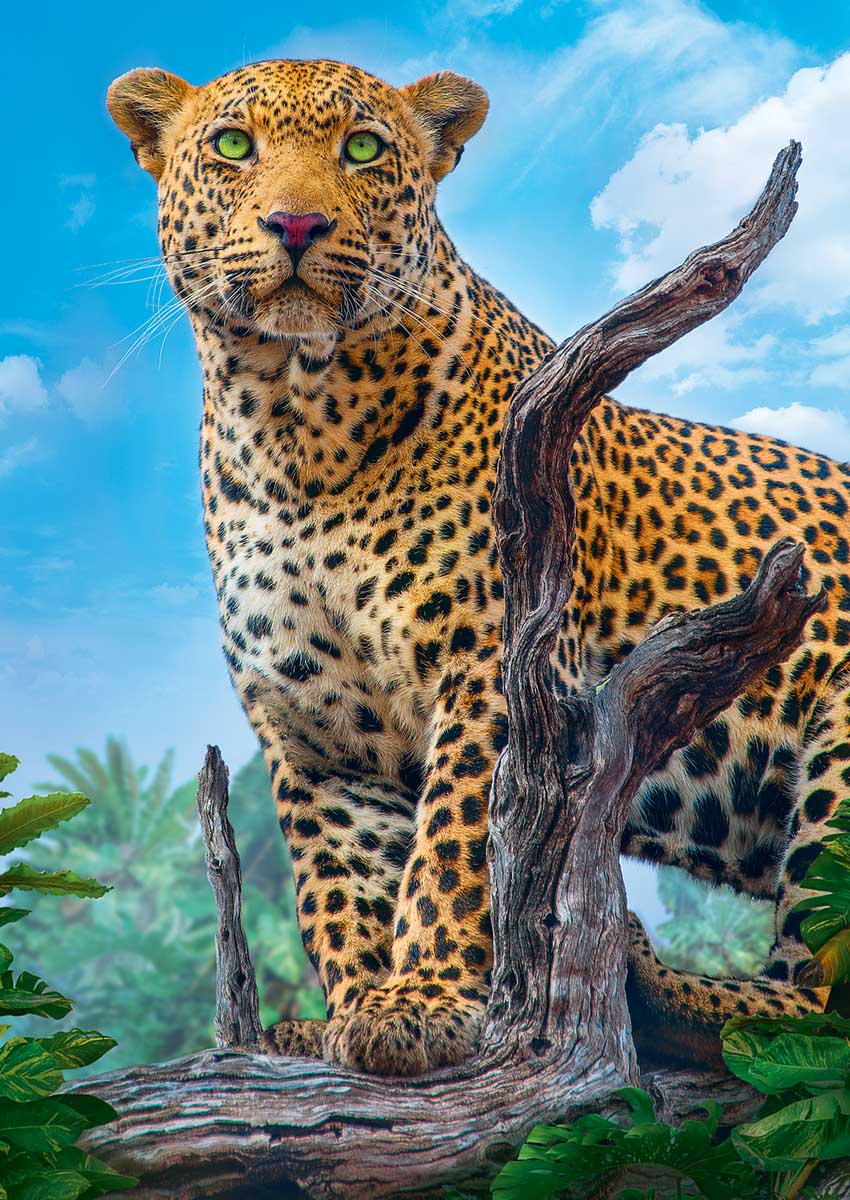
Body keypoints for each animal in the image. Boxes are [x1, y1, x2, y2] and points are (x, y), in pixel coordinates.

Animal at [107, 57, 850, 1077]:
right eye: (232, 146)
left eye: (363, 148)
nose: (295, 225)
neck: (294, 426)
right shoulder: (313, 731)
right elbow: (340, 885)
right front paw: (350, 1012)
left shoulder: (498, 668)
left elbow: (459, 844)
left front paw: (424, 999)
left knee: (818, 1000)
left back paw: (652, 982)